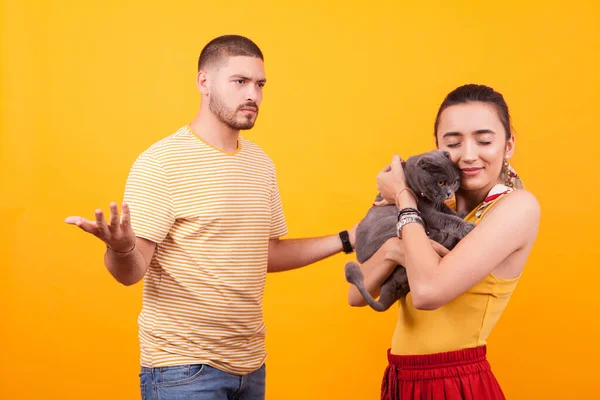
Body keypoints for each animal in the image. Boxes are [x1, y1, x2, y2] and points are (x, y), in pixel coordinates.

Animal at [344, 150, 476, 312]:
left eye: (455, 182)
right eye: (441, 182)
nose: (449, 193)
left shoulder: (438, 204)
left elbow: (449, 211)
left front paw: (460, 214)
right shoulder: (426, 212)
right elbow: (446, 219)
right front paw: (465, 226)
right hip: (389, 223)